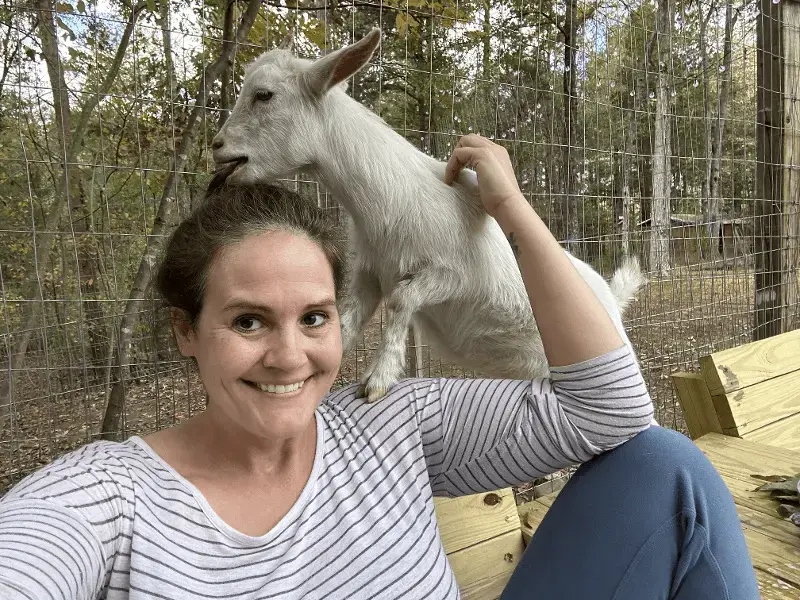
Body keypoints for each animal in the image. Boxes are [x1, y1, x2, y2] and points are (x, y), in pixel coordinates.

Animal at [211, 29, 644, 404]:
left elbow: (402, 299)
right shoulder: (369, 271)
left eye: (264, 95)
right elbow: (346, 321)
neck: (389, 206)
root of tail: (613, 298)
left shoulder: (456, 274)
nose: (217, 146)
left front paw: (378, 377)